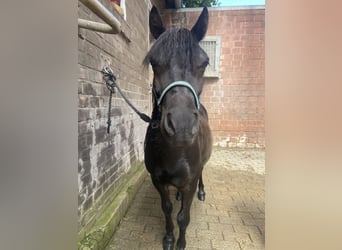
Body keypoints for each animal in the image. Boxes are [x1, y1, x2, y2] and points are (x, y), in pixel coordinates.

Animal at [142, 5, 211, 250]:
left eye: (204, 63)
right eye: (154, 61)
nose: (181, 127)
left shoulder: (190, 181)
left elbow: (183, 216)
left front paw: (181, 242)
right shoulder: (157, 180)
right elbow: (168, 209)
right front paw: (169, 238)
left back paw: (202, 192)